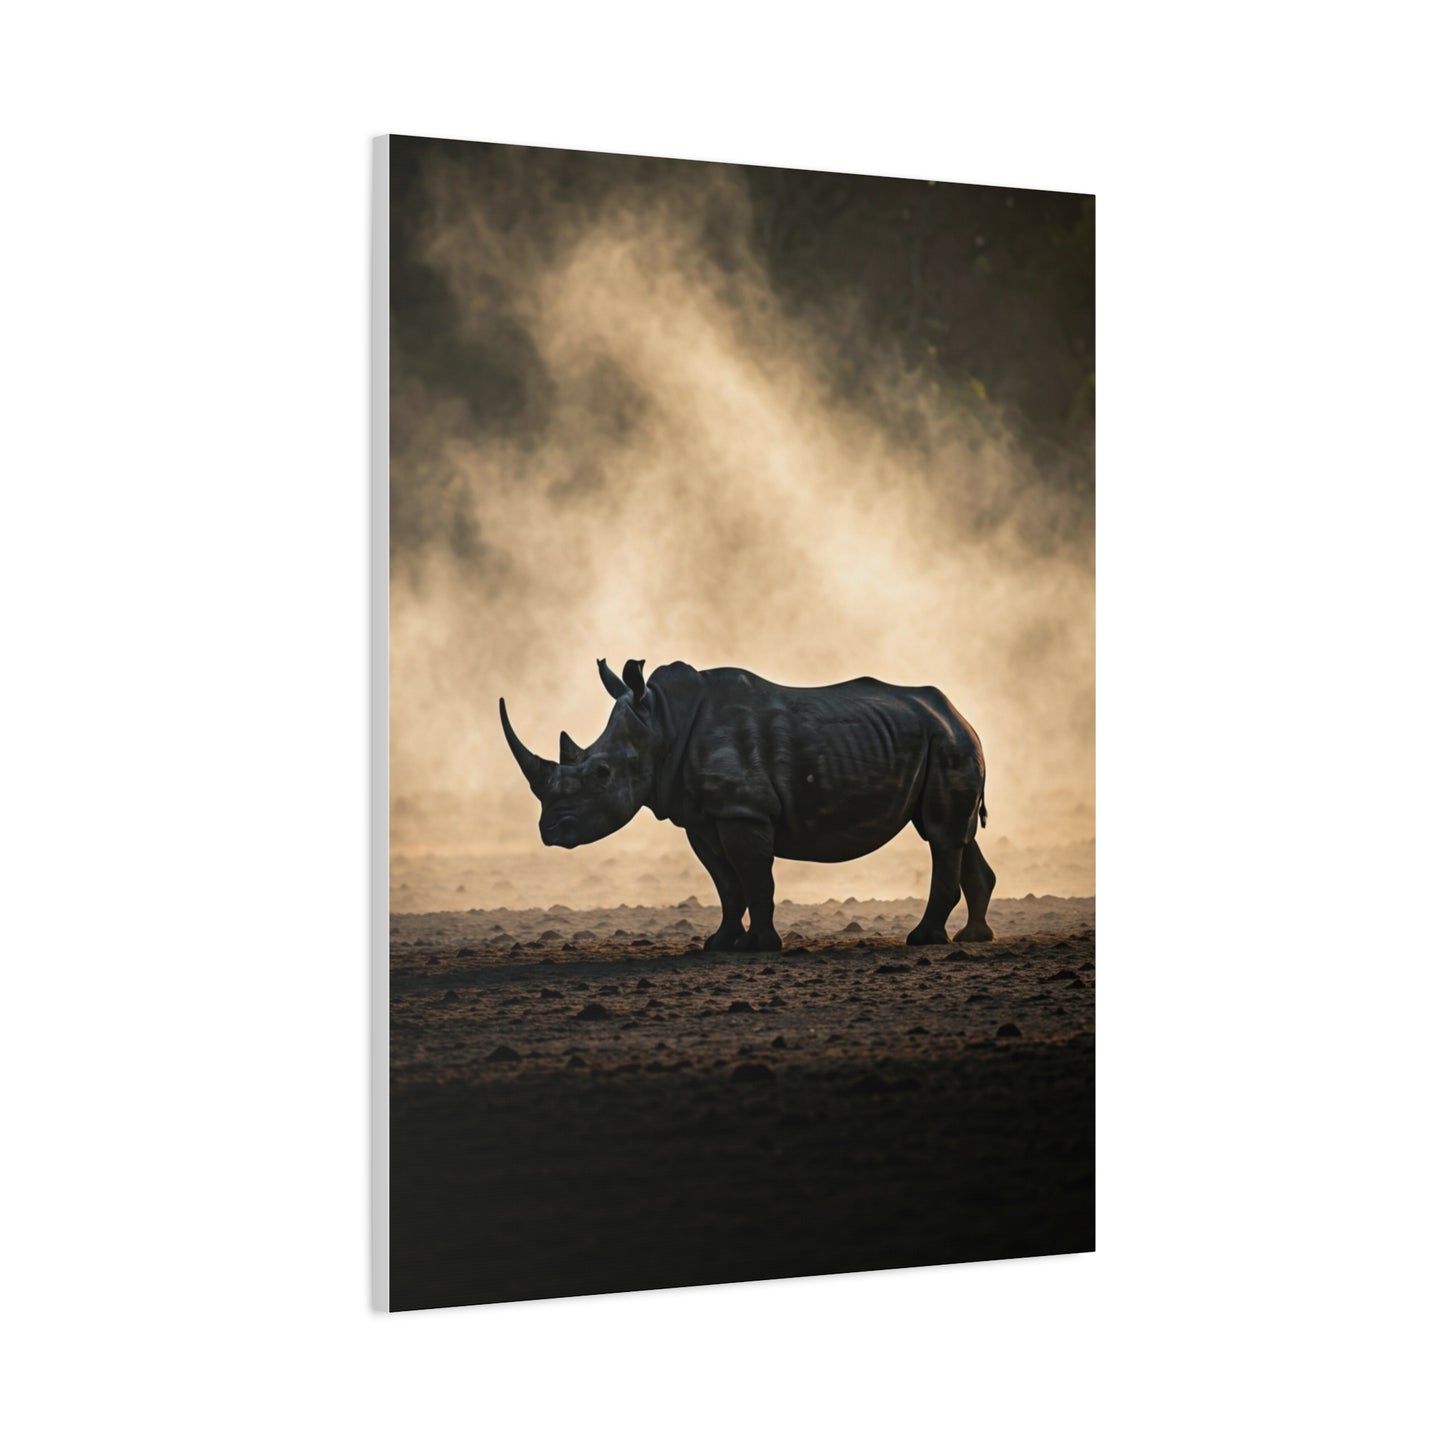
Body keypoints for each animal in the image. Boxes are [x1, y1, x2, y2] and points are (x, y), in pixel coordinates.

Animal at [499, 658, 995, 951]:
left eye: (601, 773)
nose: (549, 832)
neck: (662, 723)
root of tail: (961, 715)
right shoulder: (702, 816)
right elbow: (726, 882)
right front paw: (719, 943)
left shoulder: (742, 809)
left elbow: (754, 876)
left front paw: (759, 946)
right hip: (942, 740)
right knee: (954, 834)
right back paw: (973, 937)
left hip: (948, 742)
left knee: (941, 835)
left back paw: (924, 940)